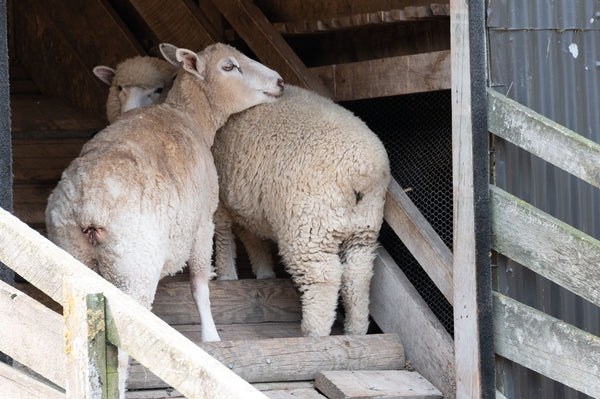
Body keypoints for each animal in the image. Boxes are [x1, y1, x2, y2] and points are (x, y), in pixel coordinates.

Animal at [45, 43, 284, 399]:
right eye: (229, 67)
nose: (280, 81)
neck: (191, 117)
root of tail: (86, 204)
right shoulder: (202, 223)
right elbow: (200, 286)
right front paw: (211, 337)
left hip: (71, 255)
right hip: (133, 268)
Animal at [210, 86, 390, 340]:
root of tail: (362, 174)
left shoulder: (221, 200)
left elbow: (224, 236)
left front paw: (226, 275)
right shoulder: (251, 205)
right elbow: (253, 239)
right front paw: (264, 272)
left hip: (309, 225)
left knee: (323, 276)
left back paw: (314, 332)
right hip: (364, 228)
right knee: (358, 275)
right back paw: (355, 330)